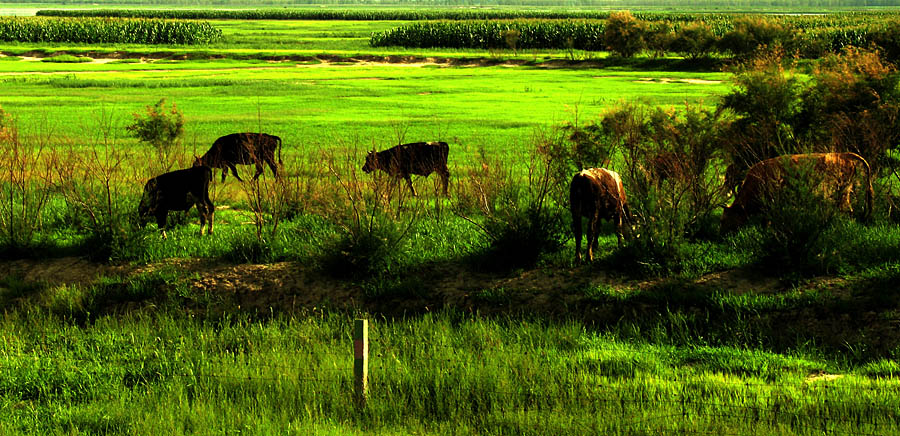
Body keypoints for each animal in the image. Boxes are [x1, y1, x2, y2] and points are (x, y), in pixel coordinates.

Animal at [716, 153, 872, 235]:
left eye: (724, 220)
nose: (721, 234)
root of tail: (842, 155)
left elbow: (766, 222)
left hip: (843, 192)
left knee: (847, 210)